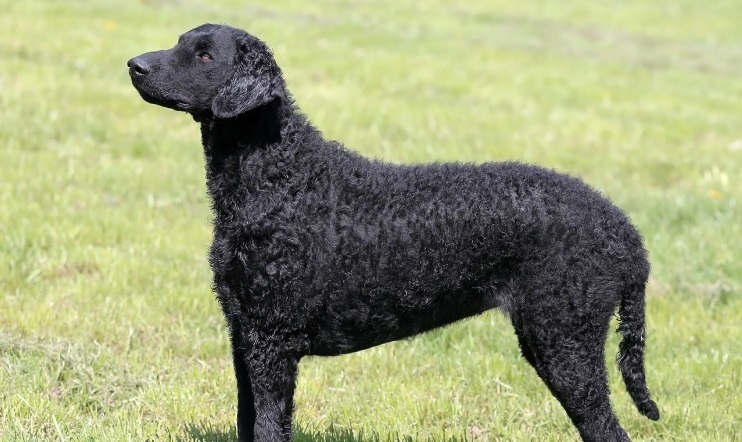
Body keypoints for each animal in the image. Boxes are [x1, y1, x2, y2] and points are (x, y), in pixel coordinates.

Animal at [129, 24, 664, 442]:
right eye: (179, 41)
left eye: (204, 55)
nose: (133, 64)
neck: (284, 177)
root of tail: (625, 230)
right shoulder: (244, 333)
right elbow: (246, 421)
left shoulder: (272, 341)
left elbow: (267, 427)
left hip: (565, 340)